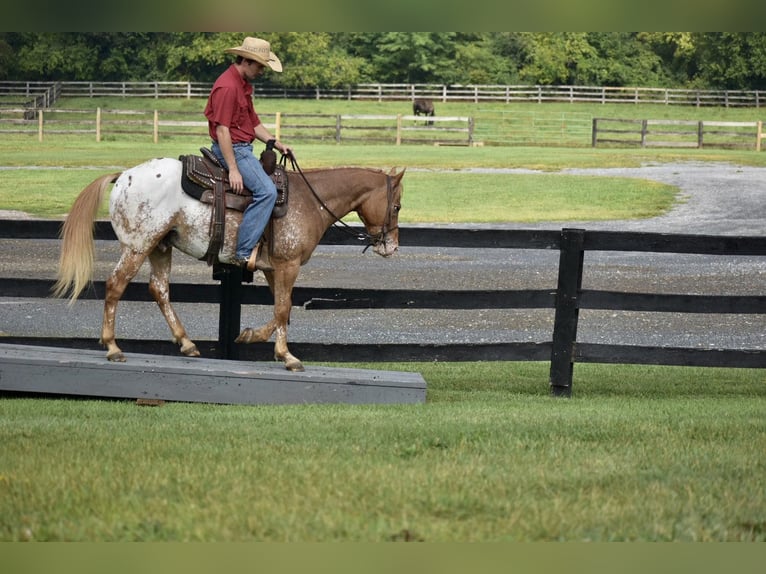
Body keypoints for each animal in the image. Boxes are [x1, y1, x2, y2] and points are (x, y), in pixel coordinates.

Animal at [54, 159, 404, 374]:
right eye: (397, 206)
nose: (392, 246)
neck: (309, 200)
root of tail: (123, 176)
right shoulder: (287, 264)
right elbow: (283, 309)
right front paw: (287, 356)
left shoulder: (273, 268)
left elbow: (283, 309)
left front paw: (250, 337)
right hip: (138, 246)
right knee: (116, 285)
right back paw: (113, 347)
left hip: (160, 247)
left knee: (160, 289)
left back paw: (187, 343)